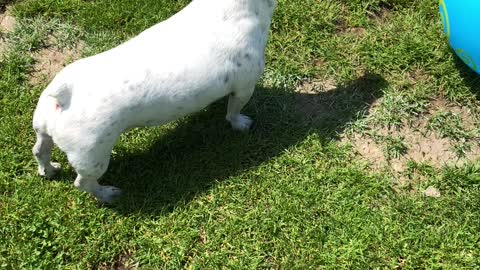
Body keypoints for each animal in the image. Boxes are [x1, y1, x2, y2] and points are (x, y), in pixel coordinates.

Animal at [31, 0, 276, 202]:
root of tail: (64, 96)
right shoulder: (244, 87)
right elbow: (234, 111)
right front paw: (240, 124)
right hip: (93, 158)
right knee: (83, 183)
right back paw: (107, 194)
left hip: (44, 128)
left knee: (40, 150)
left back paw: (48, 170)